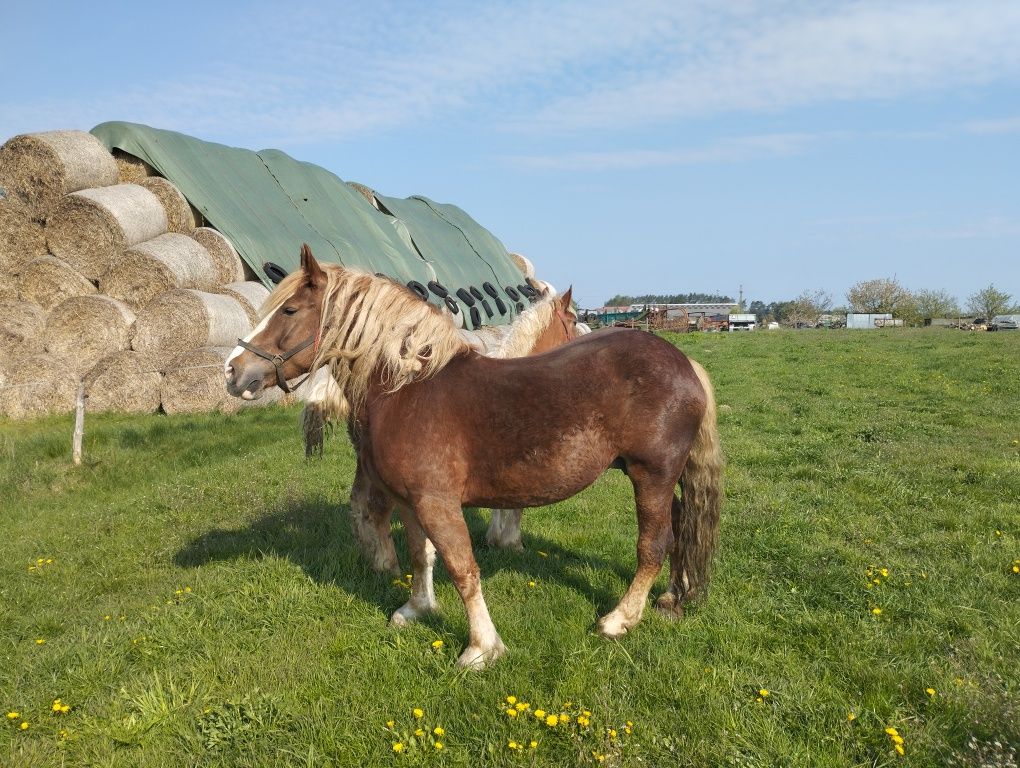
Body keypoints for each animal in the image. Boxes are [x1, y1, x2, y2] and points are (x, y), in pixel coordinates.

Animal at [229, 245, 726, 664]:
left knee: (654, 544)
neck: (407, 389)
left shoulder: (437, 502)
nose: (233, 372)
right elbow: (420, 554)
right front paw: (417, 608)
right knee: (681, 526)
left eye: (289, 310)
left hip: (651, 475)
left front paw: (482, 647)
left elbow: (463, 568)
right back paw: (672, 598)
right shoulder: (412, 501)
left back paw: (620, 618)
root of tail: (684, 363)